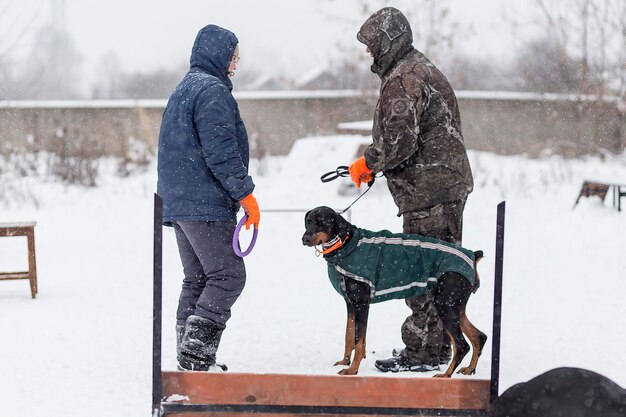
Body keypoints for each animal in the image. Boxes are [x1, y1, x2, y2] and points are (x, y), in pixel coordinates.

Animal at [300, 206, 486, 376]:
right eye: (308, 221)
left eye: (322, 222)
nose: (304, 238)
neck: (345, 245)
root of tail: (473, 256)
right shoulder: (350, 303)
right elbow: (349, 335)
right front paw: (345, 361)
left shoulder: (362, 303)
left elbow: (359, 340)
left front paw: (352, 369)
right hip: (454, 305)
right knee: (479, 337)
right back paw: (469, 369)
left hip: (445, 304)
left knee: (462, 345)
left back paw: (445, 375)